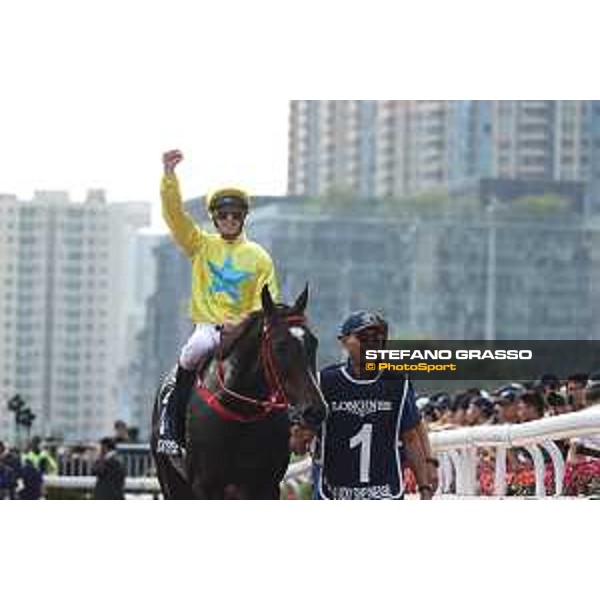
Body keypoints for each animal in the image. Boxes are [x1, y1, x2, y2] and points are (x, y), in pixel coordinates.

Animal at [151, 284, 328, 500]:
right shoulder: (206, 486)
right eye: (280, 346)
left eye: (314, 342)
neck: (240, 412)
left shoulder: (265, 486)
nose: (316, 410)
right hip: (171, 480)